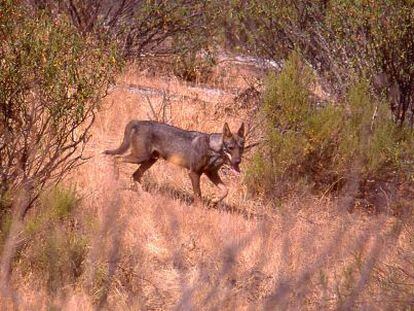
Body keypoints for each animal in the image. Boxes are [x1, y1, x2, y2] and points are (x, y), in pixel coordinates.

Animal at [104, 120, 246, 204]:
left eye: (241, 147)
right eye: (230, 148)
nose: (238, 161)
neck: (214, 149)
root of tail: (137, 122)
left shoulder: (211, 174)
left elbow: (225, 190)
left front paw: (215, 200)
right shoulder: (194, 173)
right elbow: (198, 196)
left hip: (150, 160)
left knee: (135, 174)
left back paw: (142, 194)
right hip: (140, 157)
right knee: (116, 158)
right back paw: (115, 180)